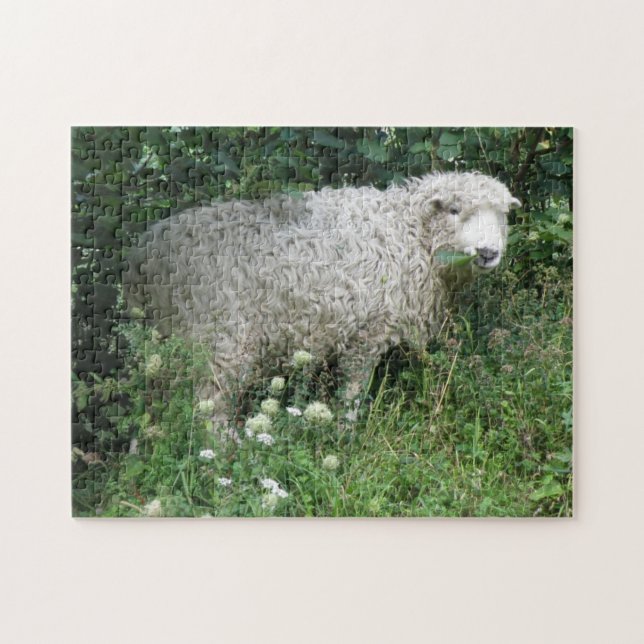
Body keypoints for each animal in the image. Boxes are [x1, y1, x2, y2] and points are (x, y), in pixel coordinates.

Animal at [123, 171, 520, 423]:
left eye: (502, 216)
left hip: (160, 340)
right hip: (219, 339)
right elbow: (353, 392)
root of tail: (147, 254)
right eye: (454, 210)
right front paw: (345, 431)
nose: (488, 252)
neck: (407, 232)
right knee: (209, 406)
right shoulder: (368, 332)